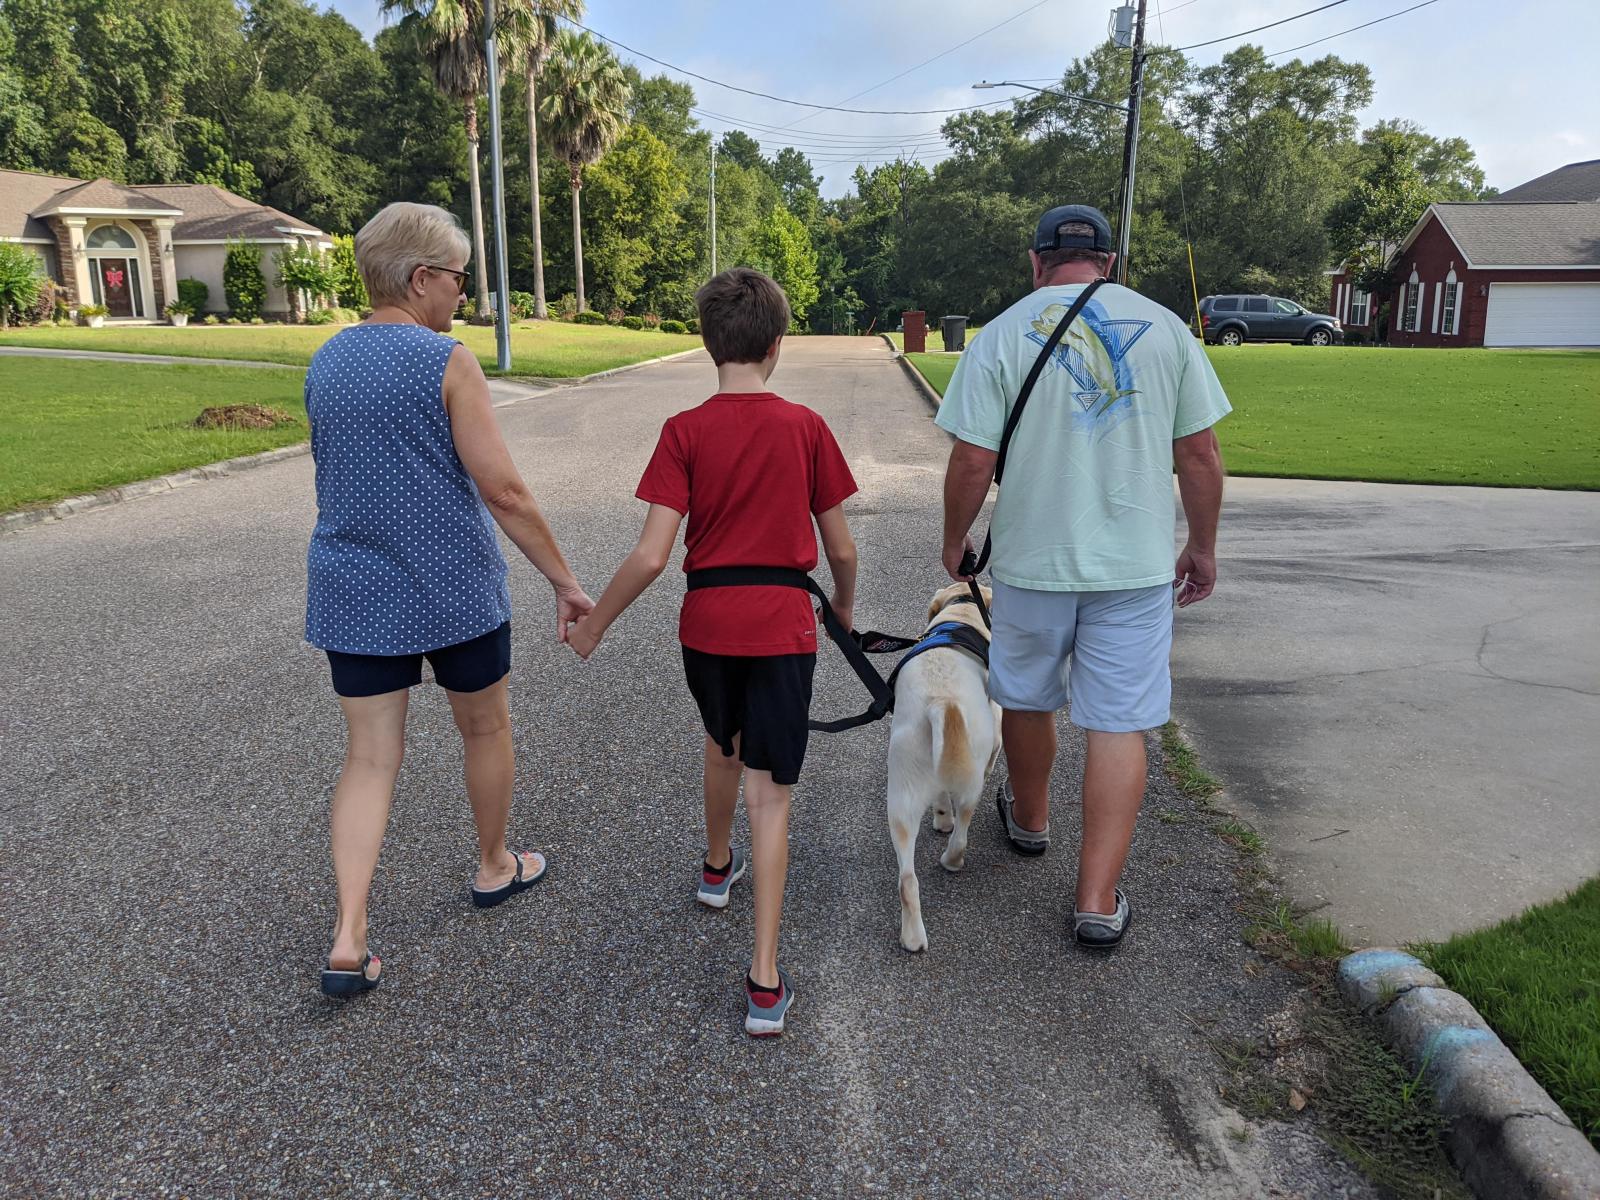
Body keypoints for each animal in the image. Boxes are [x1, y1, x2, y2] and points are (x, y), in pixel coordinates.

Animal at [887, 582, 1001, 952]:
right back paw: (953, 861)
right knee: (962, 830)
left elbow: (939, 796)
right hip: (972, 780)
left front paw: (940, 817)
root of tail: (941, 702)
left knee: (907, 879)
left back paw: (912, 938)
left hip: (902, 796)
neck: (962, 610)